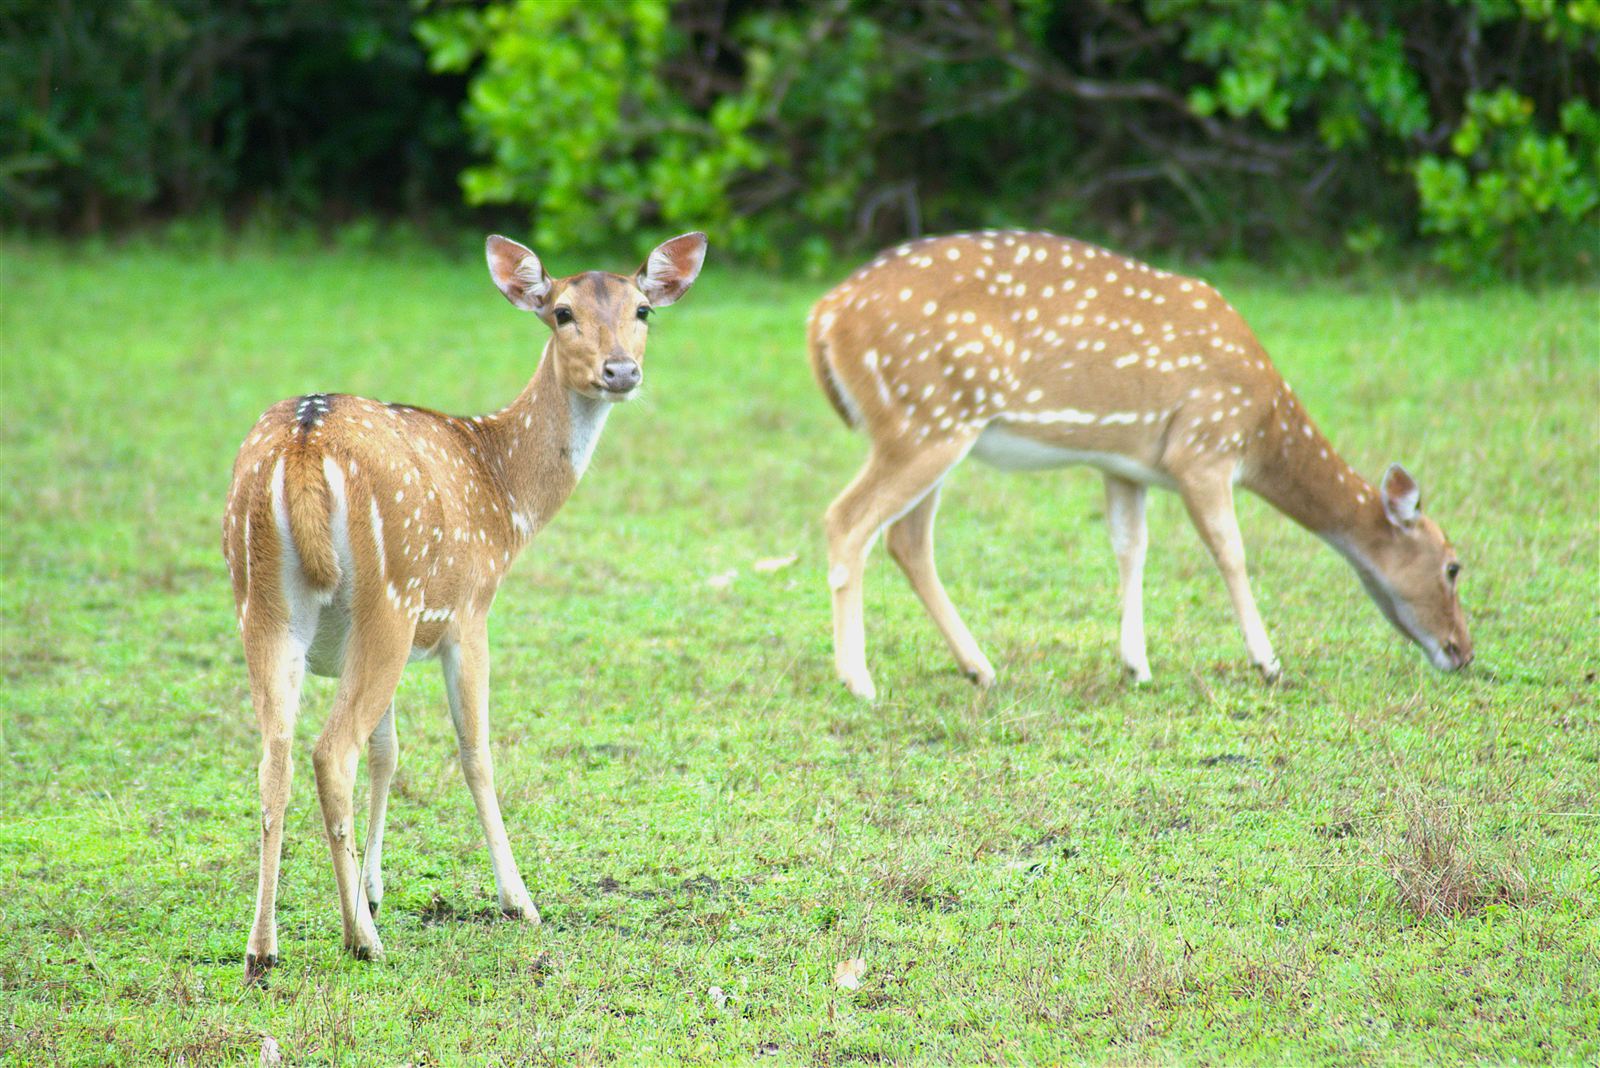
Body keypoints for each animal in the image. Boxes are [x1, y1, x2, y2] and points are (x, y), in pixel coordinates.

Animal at [221, 232, 707, 982]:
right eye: (562, 312)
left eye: (643, 309)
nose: (621, 371)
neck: (506, 497)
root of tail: (304, 445)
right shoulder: (471, 612)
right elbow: (476, 751)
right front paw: (518, 900)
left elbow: (390, 752)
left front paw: (375, 886)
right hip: (390, 595)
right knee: (330, 752)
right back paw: (361, 941)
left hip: (264, 605)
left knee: (276, 757)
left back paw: (263, 947)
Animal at [807, 230, 1472, 701]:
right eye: (1452, 566)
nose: (1463, 652)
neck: (1264, 426)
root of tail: (824, 317)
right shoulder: (1202, 446)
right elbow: (1230, 550)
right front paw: (1269, 663)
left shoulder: (1125, 465)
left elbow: (1130, 547)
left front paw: (1136, 665)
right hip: (926, 420)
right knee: (846, 519)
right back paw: (859, 681)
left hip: (935, 429)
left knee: (905, 539)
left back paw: (980, 670)